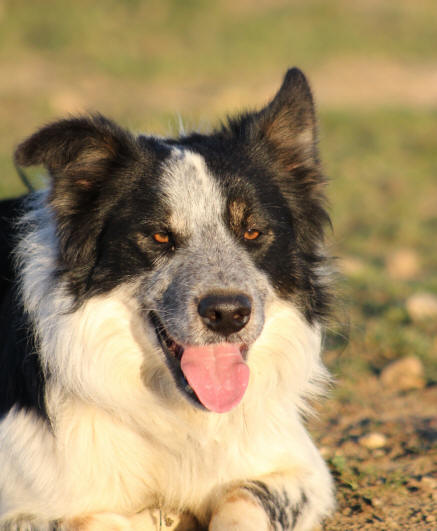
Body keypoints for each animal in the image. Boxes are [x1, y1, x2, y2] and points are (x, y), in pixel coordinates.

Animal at [0, 68, 334, 528]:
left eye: (252, 231)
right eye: (159, 236)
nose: (228, 314)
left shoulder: (299, 469)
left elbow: (244, 500)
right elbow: (96, 519)